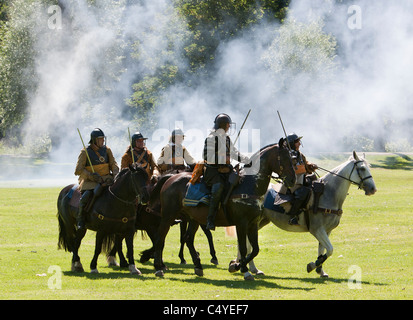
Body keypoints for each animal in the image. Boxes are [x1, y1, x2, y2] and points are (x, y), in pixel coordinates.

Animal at [153, 140, 294, 280]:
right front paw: (243, 270)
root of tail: (170, 178)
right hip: (168, 217)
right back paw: (159, 268)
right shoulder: (241, 224)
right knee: (160, 238)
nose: (293, 180)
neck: (249, 185)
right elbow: (243, 248)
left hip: (194, 219)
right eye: (284, 158)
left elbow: (255, 249)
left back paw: (198, 266)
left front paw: (235, 266)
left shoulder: (253, 224)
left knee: (188, 239)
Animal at [232, 150, 376, 278]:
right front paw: (313, 265)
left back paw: (250, 268)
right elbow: (330, 250)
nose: (373, 189)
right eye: (362, 168)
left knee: (247, 243)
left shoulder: (326, 231)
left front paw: (321, 271)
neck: (328, 194)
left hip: (259, 222)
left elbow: (323, 250)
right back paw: (242, 266)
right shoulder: (317, 230)